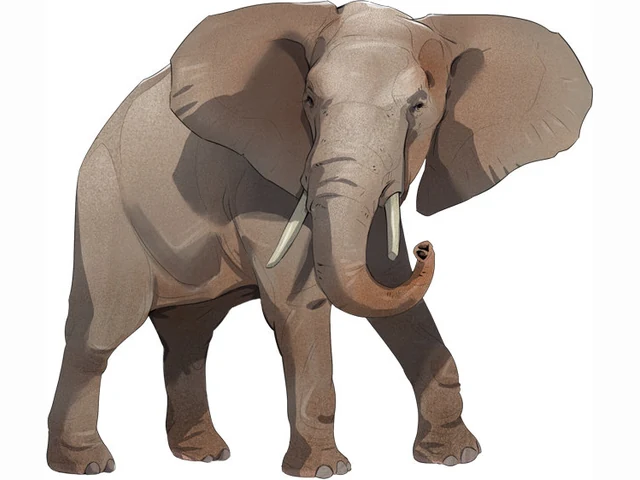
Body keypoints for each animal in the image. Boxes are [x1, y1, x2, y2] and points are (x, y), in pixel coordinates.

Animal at [47, 1, 592, 477]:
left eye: (419, 106)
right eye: (309, 101)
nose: (426, 248)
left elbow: (390, 290)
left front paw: (456, 457)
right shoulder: (261, 179)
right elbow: (301, 302)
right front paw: (325, 470)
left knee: (189, 334)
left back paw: (204, 455)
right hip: (103, 202)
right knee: (102, 330)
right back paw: (86, 464)